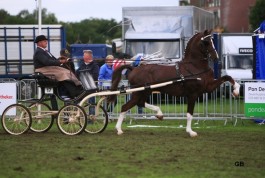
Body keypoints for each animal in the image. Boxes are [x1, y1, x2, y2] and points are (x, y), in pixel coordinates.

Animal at [107, 29, 239, 137]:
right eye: (206, 42)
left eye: (212, 40)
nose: (216, 57)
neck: (194, 67)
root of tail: (134, 68)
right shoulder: (193, 94)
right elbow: (189, 114)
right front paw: (191, 132)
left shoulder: (208, 87)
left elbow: (227, 77)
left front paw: (236, 91)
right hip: (139, 92)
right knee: (127, 106)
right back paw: (119, 129)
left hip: (144, 92)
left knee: (138, 103)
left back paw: (158, 114)